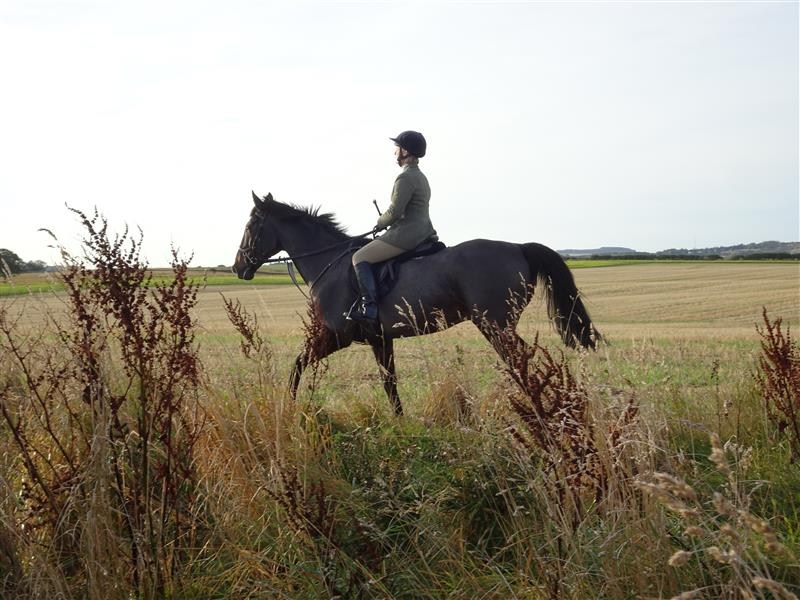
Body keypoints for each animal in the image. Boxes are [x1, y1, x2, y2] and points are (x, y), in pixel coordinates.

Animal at [233, 192, 600, 416]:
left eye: (250, 226)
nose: (238, 267)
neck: (329, 262)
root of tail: (518, 247)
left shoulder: (334, 335)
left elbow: (296, 364)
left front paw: (289, 405)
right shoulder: (379, 339)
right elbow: (389, 383)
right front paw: (400, 420)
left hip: (494, 325)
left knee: (520, 358)